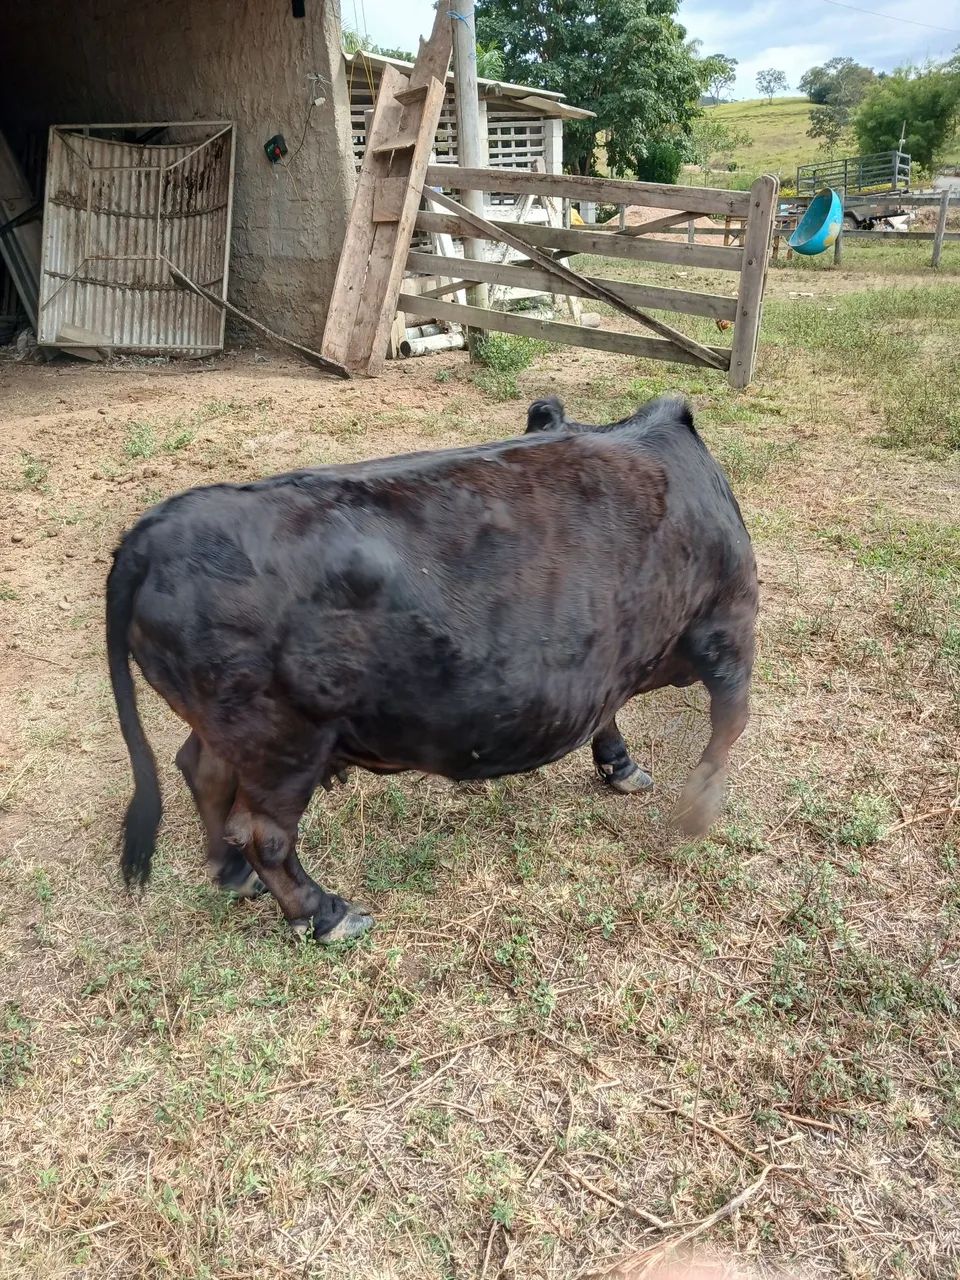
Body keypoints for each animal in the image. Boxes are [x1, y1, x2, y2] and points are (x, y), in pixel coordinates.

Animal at [106, 395, 757, 944]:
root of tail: (151, 535)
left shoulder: (606, 661)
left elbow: (616, 712)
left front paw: (620, 766)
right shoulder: (731, 620)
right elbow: (731, 720)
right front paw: (698, 810)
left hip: (231, 723)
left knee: (203, 770)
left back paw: (230, 872)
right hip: (282, 739)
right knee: (264, 831)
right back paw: (326, 913)